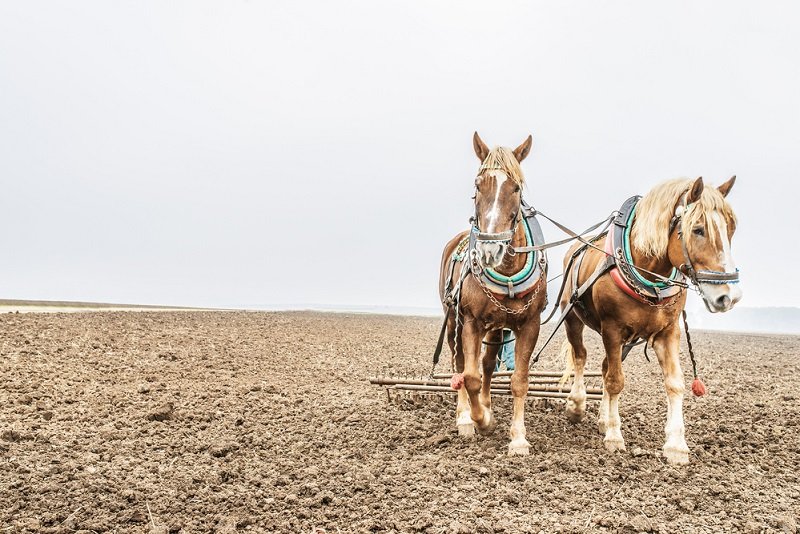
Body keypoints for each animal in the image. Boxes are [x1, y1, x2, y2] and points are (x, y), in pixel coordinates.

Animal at [438, 132, 552, 454]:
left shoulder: (530, 324)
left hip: (499, 325)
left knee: (489, 363)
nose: (490, 249)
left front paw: (518, 438)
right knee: (461, 364)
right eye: (478, 185)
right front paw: (481, 421)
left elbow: (519, 380)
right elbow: (470, 376)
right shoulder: (471, 321)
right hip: (454, 320)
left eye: (516, 187)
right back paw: (465, 417)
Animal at [560, 176, 740, 464]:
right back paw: (577, 405)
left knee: (603, 367)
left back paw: (603, 419)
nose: (729, 297)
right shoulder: (612, 329)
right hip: (572, 317)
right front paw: (614, 436)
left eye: (731, 229)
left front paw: (676, 445)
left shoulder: (669, 332)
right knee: (580, 356)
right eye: (698, 230)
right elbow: (615, 381)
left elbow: (674, 383)